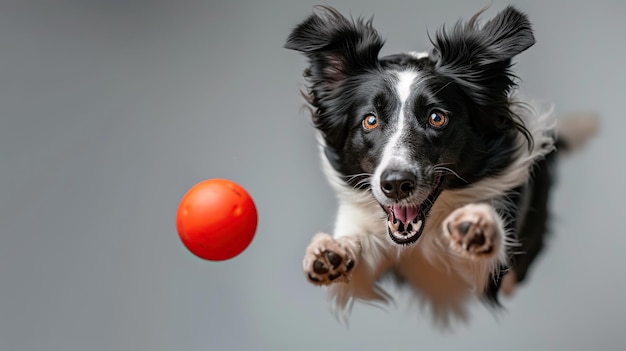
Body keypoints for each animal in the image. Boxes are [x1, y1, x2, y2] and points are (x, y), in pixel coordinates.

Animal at [282, 5, 596, 326]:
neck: (421, 238)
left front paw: (478, 224)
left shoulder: (481, 281)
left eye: (436, 117)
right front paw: (334, 251)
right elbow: (356, 257)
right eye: (370, 120)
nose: (396, 184)